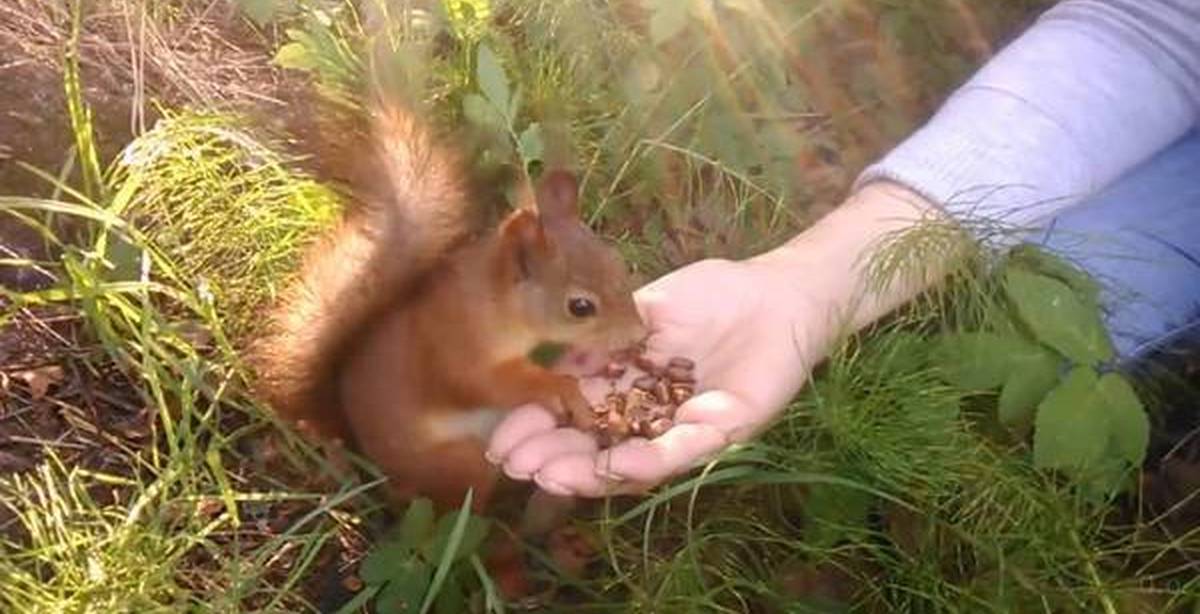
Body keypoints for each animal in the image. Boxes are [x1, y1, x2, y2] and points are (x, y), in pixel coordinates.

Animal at [250, 99, 648, 513]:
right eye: (580, 307)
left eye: (618, 263)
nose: (640, 333)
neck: (496, 303)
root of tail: (376, 470)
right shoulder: (457, 345)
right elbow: (486, 383)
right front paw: (560, 388)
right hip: (461, 464)